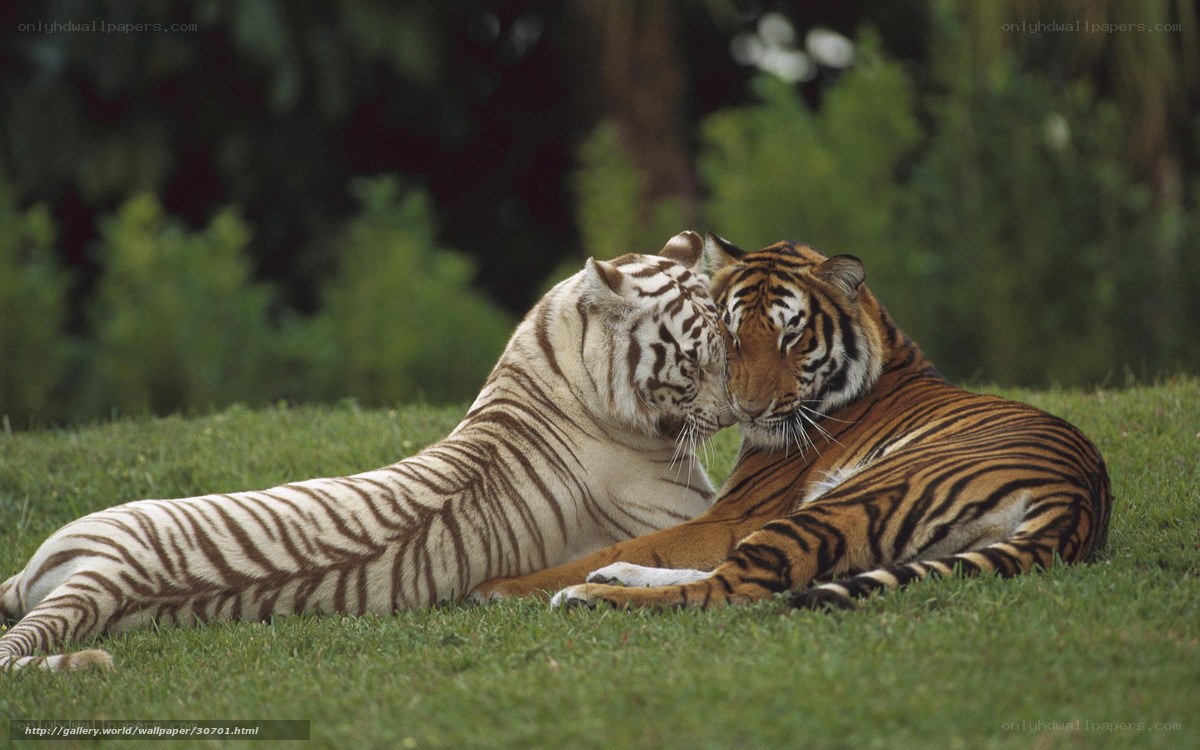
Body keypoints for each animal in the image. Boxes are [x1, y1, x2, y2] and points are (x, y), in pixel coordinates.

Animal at [469, 234, 1112, 610]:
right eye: (731, 335)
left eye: (791, 336)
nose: (746, 410)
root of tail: (1077, 500)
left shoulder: (737, 514)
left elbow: (636, 542)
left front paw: (502, 586)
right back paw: (608, 581)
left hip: (846, 501)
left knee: (732, 587)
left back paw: (584, 594)